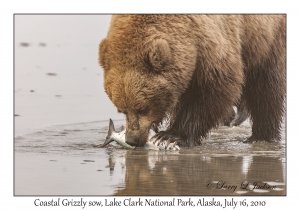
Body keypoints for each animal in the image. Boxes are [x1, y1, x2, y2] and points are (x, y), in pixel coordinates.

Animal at [99, 14, 286, 148]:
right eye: (122, 110)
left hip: (265, 38)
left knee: (266, 87)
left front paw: (170, 136)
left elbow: (216, 87)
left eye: (143, 108)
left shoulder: (212, 39)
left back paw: (260, 136)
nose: (132, 139)